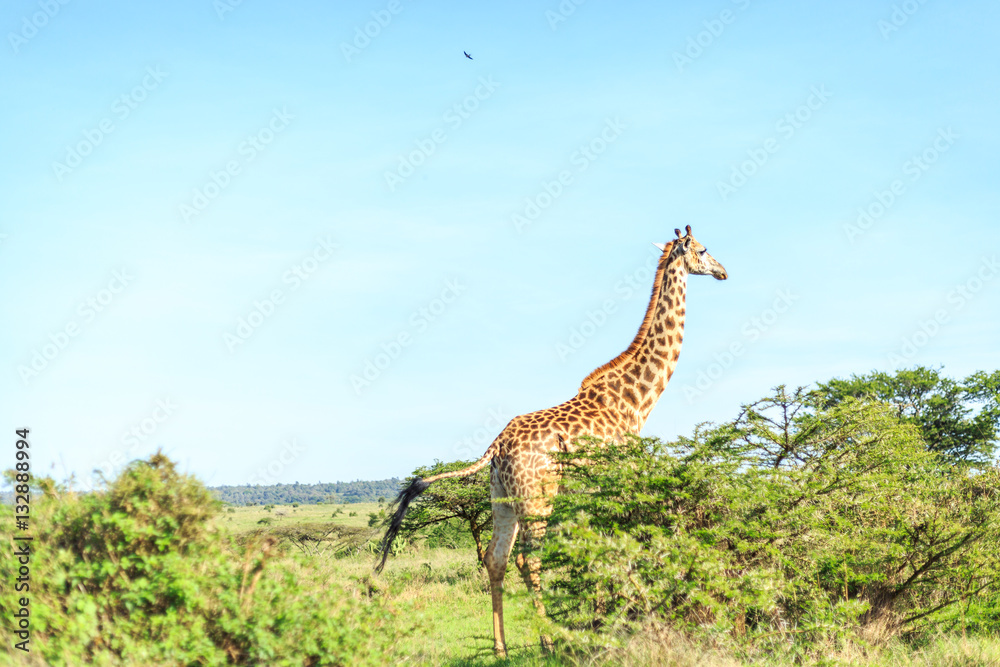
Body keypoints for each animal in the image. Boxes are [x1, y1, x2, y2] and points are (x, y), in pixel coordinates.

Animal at [376, 225, 728, 656]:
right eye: (704, 250)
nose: (723, 271)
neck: (635, 401)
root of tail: (495, 447)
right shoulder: (620, 482)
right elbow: (619, 546)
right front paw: (615, 622)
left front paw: (603, 619)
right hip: (537, 499)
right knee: (529, 561)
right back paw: (547, 640)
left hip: (501, 498)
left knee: (495, 558)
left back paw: (501, 648)